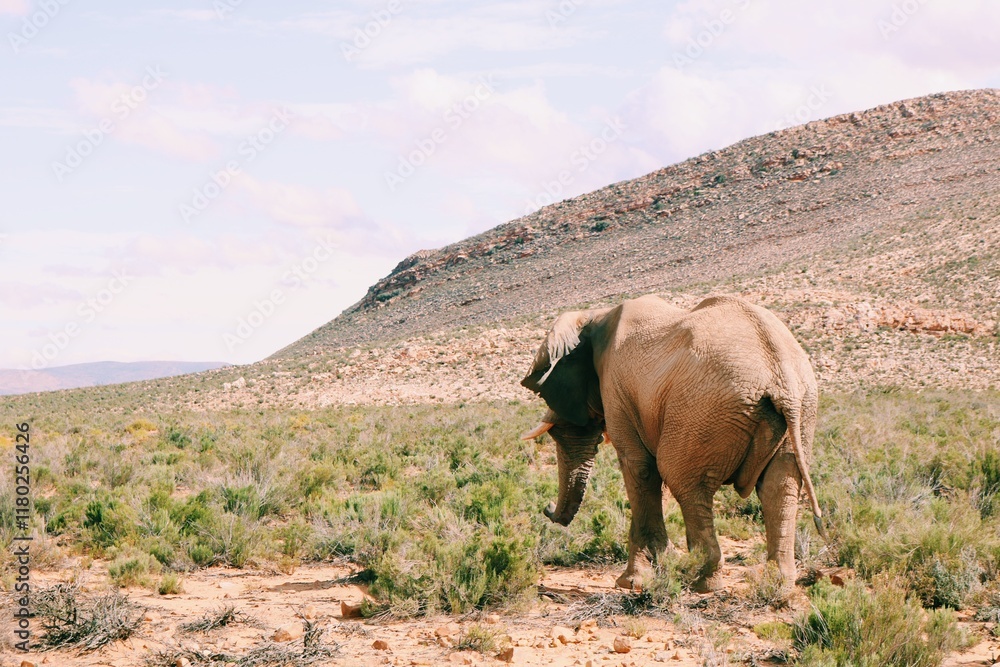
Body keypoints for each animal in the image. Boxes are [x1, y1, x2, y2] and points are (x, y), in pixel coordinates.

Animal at [520, 294, 822, 592]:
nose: (547, 507)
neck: (596, 315)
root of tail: (782, 375)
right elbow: (650, 474)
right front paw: (658, 568)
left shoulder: (616, 389)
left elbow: (639, 468)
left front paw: (632, 582)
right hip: (802, 410)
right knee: (779, 488)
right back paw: (777, 585)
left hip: (703, 408)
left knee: (683, 479)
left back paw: (704, 582)